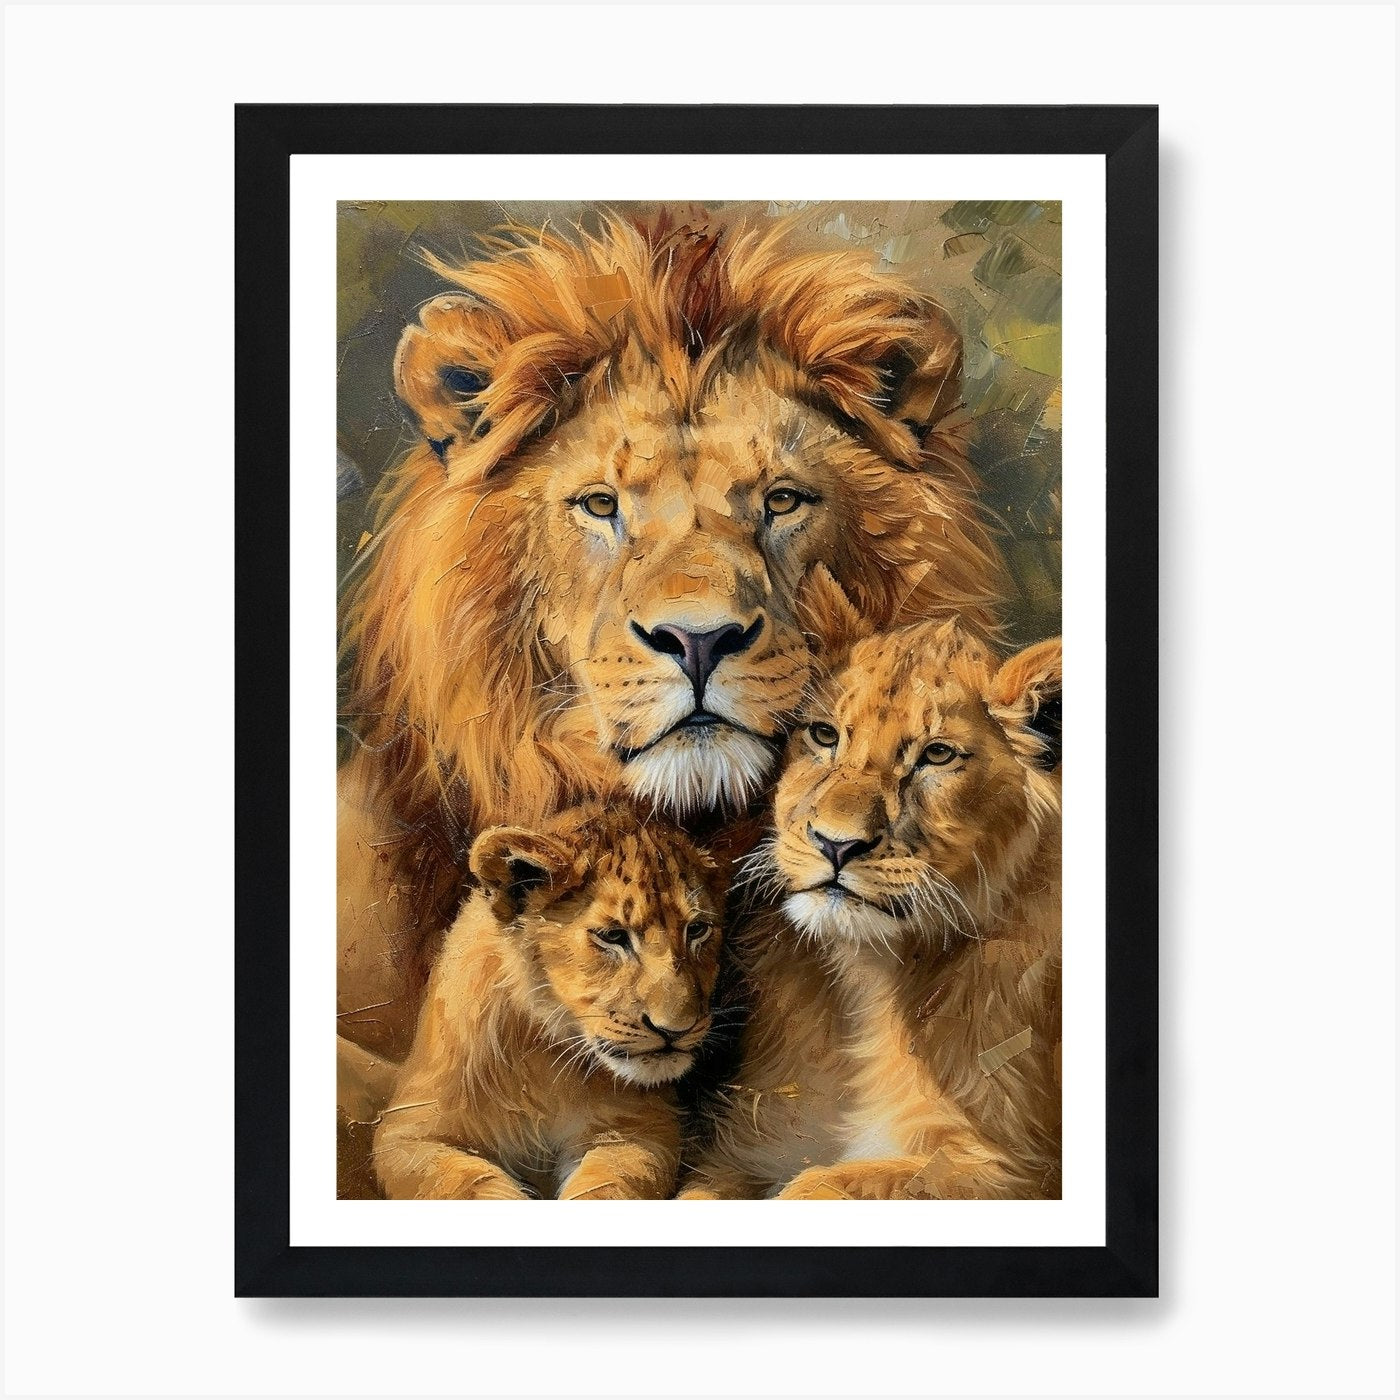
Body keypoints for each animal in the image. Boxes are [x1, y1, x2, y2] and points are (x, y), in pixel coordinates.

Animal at [373, 802, 726, 1200]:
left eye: (697, 930)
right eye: (613, 936)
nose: (676, 1030)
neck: (542, 1055)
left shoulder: (640, 1128)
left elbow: (607, 1185)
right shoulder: (409, 1131)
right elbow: (469, 1183)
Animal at [680, 617, 1062, 1200]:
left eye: (937, 755)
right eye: (823, 735)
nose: (836, 845)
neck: (869, 981)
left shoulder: (1008, 1168)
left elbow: (826, 1185)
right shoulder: (750, 1147)